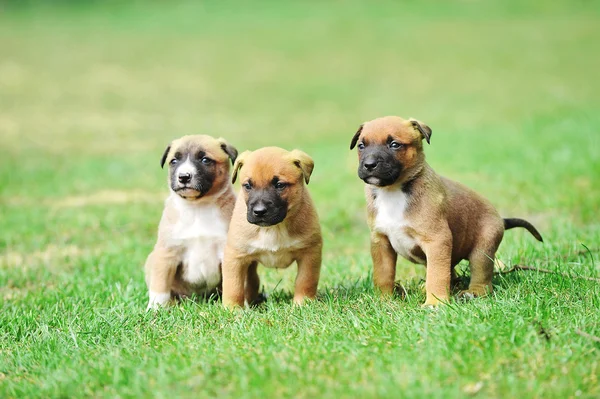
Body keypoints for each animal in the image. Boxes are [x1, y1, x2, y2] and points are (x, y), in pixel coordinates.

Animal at [144, 134, 239, 310]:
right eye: (174, 161)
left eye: (205, 160)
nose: (184, 177)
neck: (197, 207)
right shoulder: (166, 253)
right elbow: (160, 285)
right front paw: (156, 308)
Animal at [221, 148, 324, 310]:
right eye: (247, 186)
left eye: (280, 185)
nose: (259, 211)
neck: (274, 228)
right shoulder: (235, 256)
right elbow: (233, 285)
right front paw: (233, 309)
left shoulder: (310, 253)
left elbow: (305, 280)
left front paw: (302, 303)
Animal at [352, 115, 544, 306]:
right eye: (361, 145)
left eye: (394, 145)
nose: (369, 164)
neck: (393, 190)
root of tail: (501, 219)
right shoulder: (381, 242)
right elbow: (383, 274)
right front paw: (384, 300)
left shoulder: (437, 240)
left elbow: (437, 276)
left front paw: (435, 303)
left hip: (482, 250)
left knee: (481, 278)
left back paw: (471, 293)